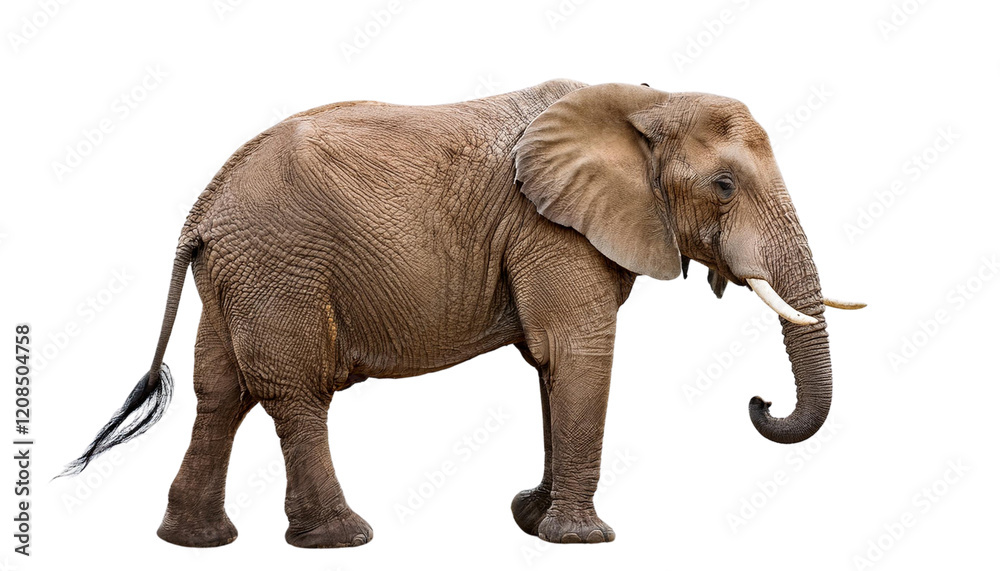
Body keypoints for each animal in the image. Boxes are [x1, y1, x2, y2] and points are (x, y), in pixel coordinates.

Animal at [61, 79, 863, 548]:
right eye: (724, 185)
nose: (760, 402)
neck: (646, 97)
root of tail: (202, 207)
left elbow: (550, 363)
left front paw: (529, 520)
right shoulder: (550, 229)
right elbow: (577, 352)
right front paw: (582, 540)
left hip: (237, 274)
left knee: (220, 391)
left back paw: (193, 541)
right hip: (280, 264)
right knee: (292, 391)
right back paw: (341, 538)